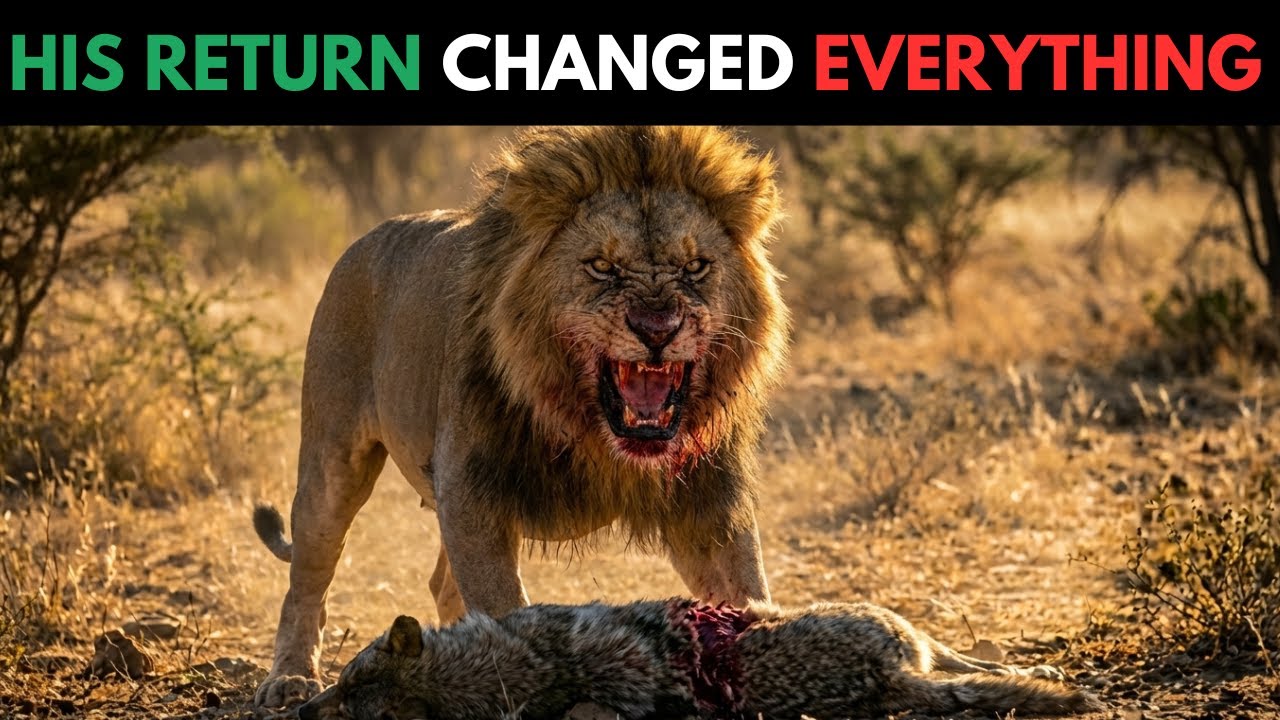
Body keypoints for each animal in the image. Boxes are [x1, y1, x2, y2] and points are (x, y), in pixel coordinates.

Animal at [252, 126, 791, 709]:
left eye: (696, 267)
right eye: (602, 267)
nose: (657, 328)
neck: (587, 425)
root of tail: (364, 239)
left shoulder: (708, 499)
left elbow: (745, 589)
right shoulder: (471, 494)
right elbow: (503, 612)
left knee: (441, 584)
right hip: (332, 462)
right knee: (309, 574)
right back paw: (290, 677)